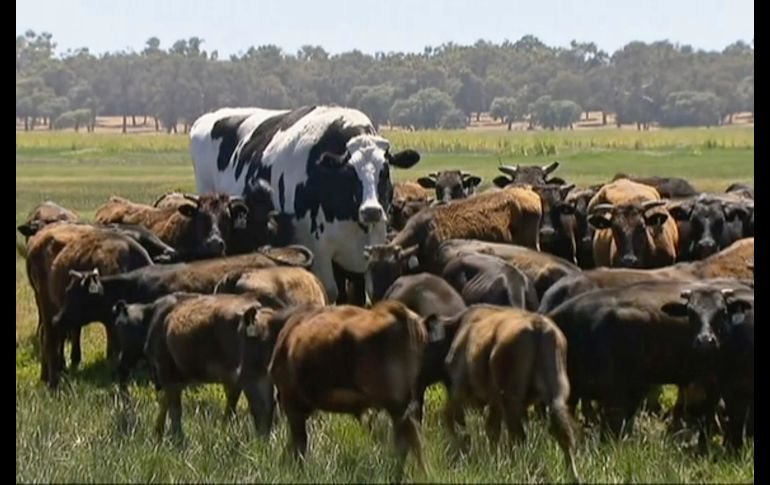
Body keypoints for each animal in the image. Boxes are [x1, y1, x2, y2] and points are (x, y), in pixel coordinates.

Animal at [190, 106, 420, 300]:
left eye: (385, 170)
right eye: (349, 172)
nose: (371, 210)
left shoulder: (372, 245)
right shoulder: (318, 251)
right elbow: (331, 292)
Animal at [268, 300, 432, 478]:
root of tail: (396, 311)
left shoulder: (292, 403)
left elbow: (299, 444)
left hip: (395, 403)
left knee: (408, 438)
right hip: (404, 402)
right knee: (410, 438)